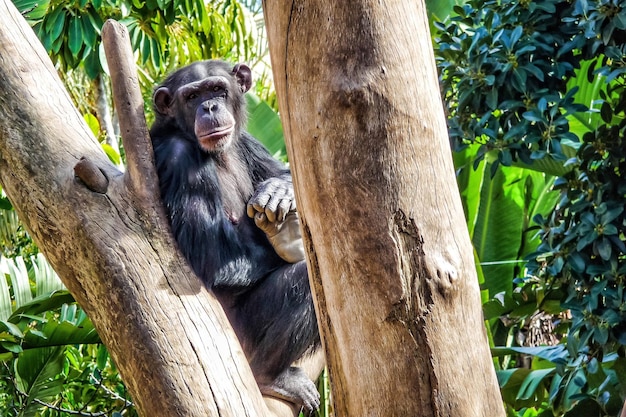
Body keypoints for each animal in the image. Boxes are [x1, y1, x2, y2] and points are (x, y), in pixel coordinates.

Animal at [149, 60, 320, 412]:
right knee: (307, 280)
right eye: (192, 96)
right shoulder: (178, 157)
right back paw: (271, 376)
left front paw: (279, 190)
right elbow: (215, 259)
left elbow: (282, 171)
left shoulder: (248, 142)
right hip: (243, 338)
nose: (209, 107)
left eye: (217, 89)